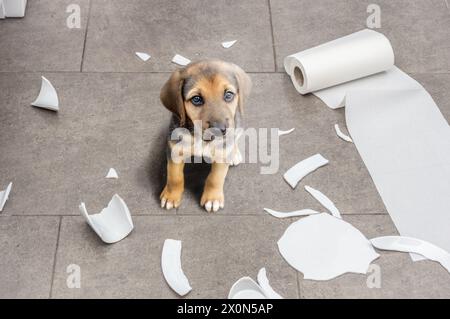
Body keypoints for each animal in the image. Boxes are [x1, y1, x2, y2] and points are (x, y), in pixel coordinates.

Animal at [159, 60, 251, 212]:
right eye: (196, 99)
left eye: (228, 95)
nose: (220, 130)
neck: (202, 139)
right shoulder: (175, 150)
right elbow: (174, 177)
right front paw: (171, 196)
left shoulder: (222, 155)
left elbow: (215, 179)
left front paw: (212, 199)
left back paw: (235, 154)